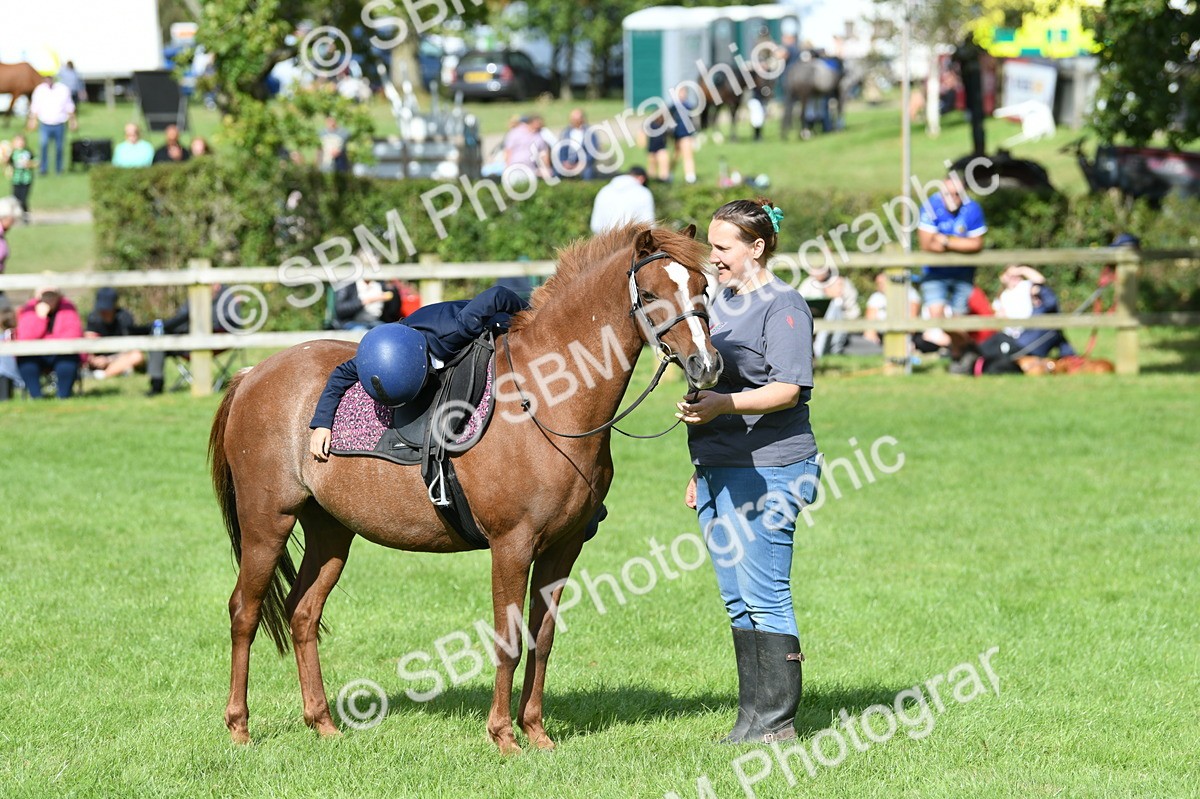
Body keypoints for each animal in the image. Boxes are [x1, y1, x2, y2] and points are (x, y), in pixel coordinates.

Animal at [208, 224, 722, 754]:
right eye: (653, 294)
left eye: (704, 287)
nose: (706, 365)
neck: (544, 402)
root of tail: (251, 376)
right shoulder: (512, 546)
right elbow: (508, 639)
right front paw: (503, 736)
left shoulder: (563, 548)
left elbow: (542, 638)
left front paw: (536, 732)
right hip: (267, 524)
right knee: (244, 612)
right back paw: (239, 727)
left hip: (330, 532)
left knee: (303, 614)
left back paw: (323, 722)